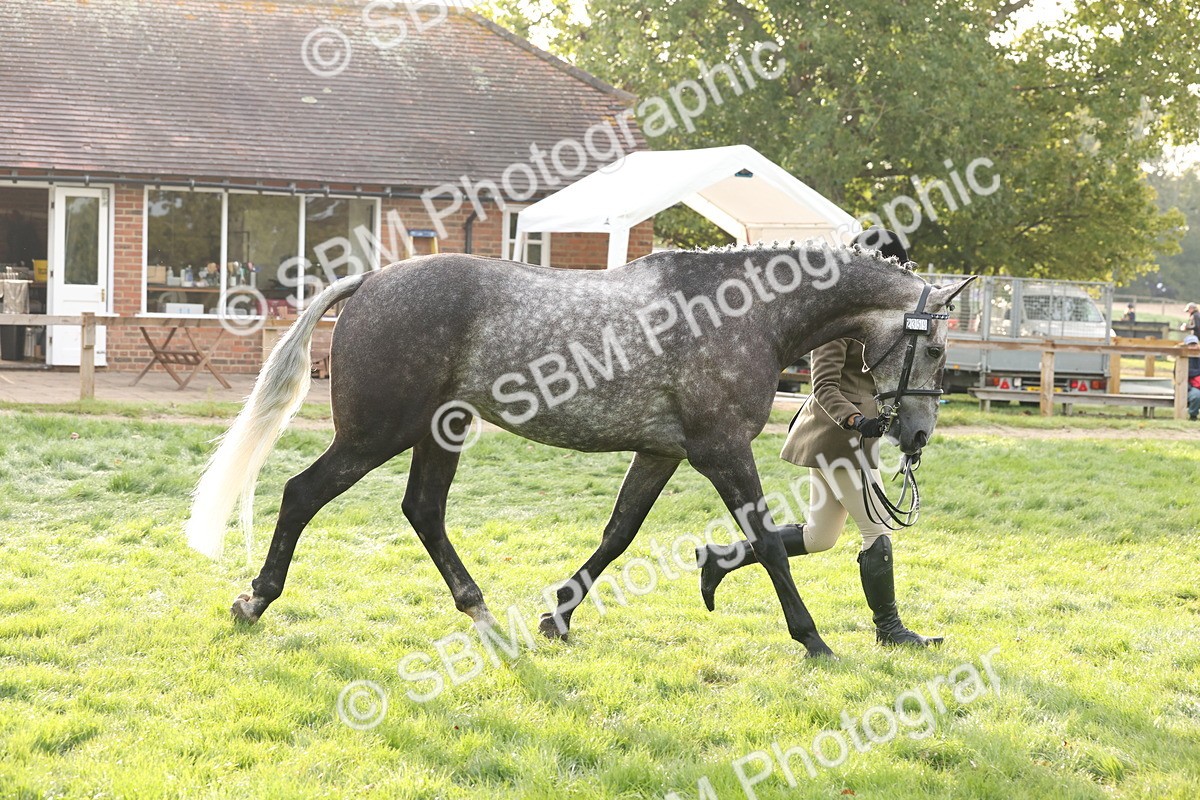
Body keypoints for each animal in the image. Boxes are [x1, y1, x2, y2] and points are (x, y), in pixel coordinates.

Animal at [185, 241, 973, 659]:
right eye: (934, 347)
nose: (917, 437)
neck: (746, 314)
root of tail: (371, 279)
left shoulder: (662, 453)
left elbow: (619, 533)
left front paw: (557, 617)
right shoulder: (721, 450)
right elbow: (769, 545)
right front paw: (813, 641)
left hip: (442, 430)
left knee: (423, 511)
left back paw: (485, 617)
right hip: (376, 433)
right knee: (302, 494)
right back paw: (254, 599)